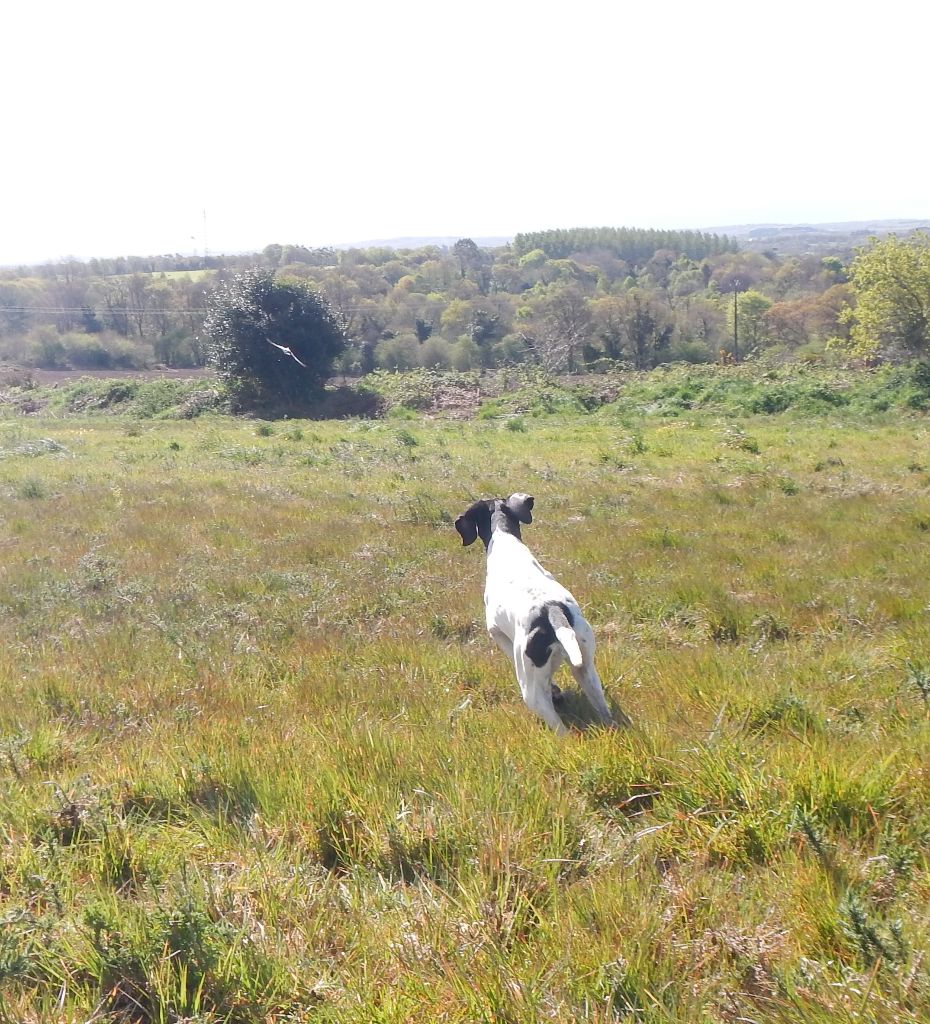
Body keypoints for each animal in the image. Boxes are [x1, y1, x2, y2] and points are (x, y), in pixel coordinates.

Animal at [454, 491, 626, 733]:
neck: (505, 541)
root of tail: (553, 612)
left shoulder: (497, 632)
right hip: (586, 670)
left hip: (532, 691)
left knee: (561, 730)